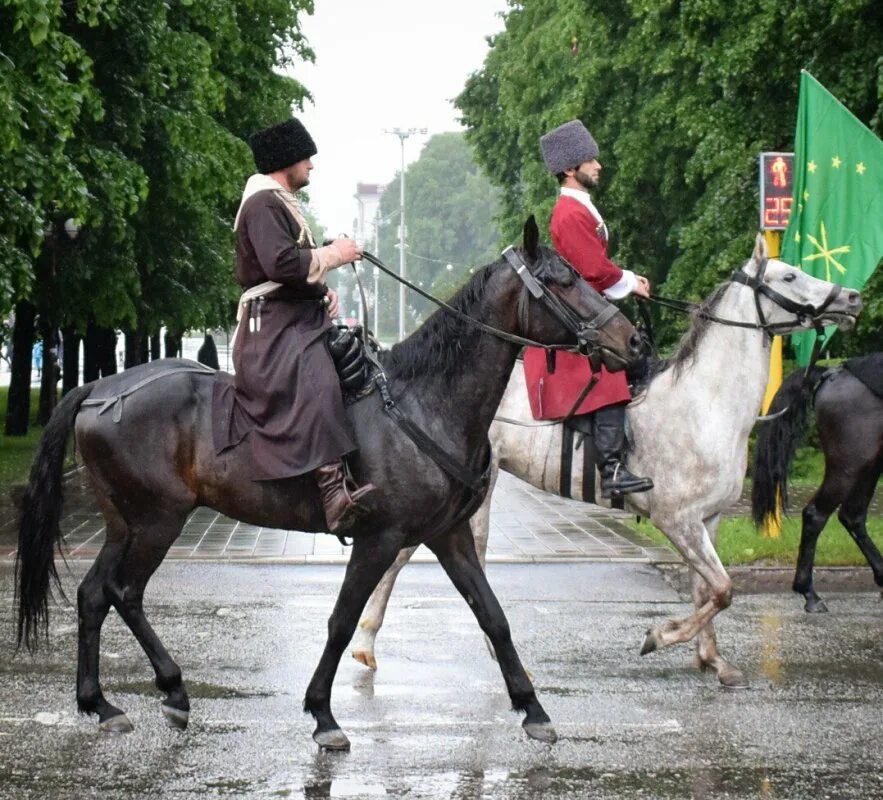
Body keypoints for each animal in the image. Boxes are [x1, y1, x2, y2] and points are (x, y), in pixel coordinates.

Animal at [13, 219, 644, 752]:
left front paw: (532, 709)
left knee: (94, 594)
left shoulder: (449, 535)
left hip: (125, 524)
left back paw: (101, 704)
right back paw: (170, 689)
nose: (635, 343)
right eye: (563, 280)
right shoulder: (379, 539)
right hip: (156, 522)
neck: (424, 401)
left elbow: (493, 614)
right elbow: (341, 621)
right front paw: (323, 713)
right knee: (125, 592)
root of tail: (97, 389)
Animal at [350, 238, 864, 688]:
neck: (705, 402)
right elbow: (722, 589)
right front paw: (660, 636)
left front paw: (714, 661)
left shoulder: (709, 519)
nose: (853, 298)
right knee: (408, 555)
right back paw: (372, 644)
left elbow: (706, 590)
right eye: (789, 275)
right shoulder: (677, 520)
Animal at [752, 354, 883, 612]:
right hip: (849, 465)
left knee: (852, 516)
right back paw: (809, 594)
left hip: (869, 466)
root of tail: (833, 373)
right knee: (817, 514)